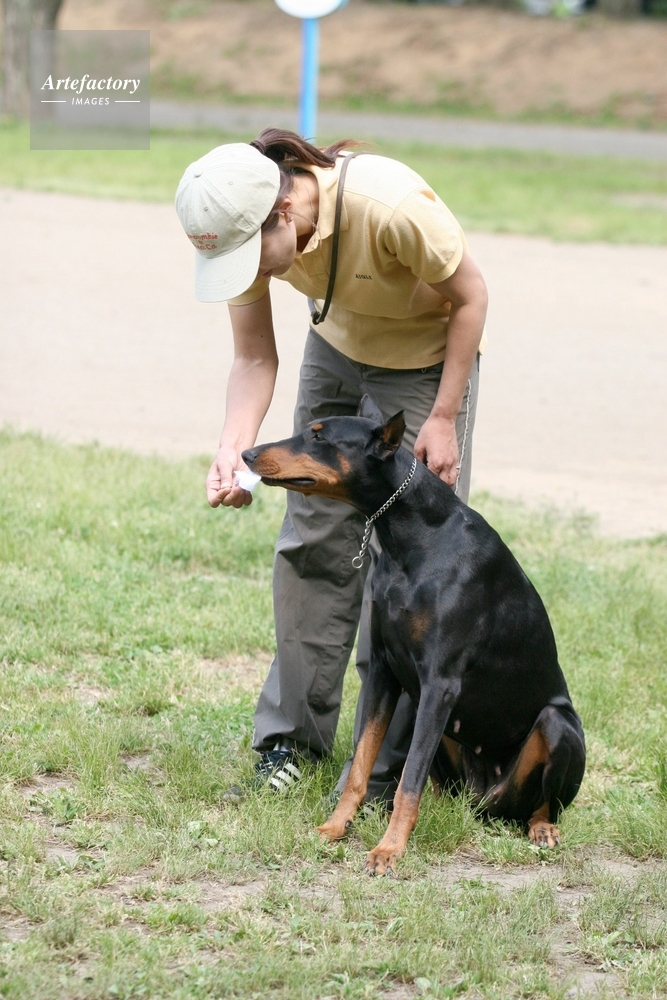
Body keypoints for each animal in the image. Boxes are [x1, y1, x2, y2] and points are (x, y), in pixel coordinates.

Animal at [242, 396, 586, 875]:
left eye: (319, 437)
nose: (247, 454)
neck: (415, 537)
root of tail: (486, 801)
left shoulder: (440, 683)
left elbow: (408, 780)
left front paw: (388, 850)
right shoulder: (384, 670)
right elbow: (362, 763)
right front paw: (335, 827)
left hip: (557, 725)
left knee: (543, 800)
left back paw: (542, 827)